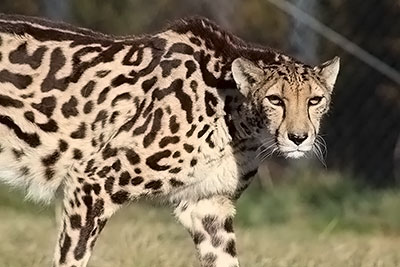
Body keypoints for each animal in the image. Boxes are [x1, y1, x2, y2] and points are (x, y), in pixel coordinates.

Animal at [0, 14, 340, 267]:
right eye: (275, 100)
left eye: (315, 100)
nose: (298, 138)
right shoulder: (90, 184)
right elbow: (72, 258)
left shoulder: (207, 205)